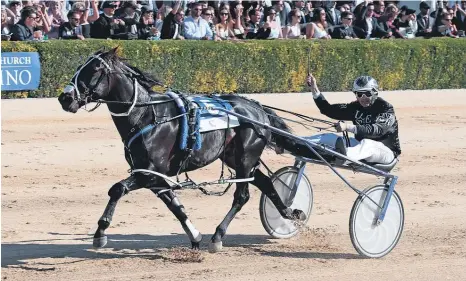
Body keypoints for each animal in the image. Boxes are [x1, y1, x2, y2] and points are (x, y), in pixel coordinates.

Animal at [57, 48, 306, 252]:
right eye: (79, 68)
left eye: (94, 70)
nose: (65, 97)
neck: (147, 116)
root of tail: (258, 108)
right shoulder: (154, 176)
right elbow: (174, 205)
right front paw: (195, 237)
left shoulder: (147, 172)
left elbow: (117, 189)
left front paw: (100, 233)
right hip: (236, 158)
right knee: (266, 183)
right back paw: (290, 213)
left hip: (245, 157)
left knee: (242, 195)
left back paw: (218, 236)